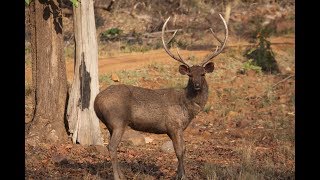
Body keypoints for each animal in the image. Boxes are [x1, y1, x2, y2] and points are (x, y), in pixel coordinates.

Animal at [94, 13, 229, 179]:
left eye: (203, 74)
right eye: (190, 75)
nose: (197, 85)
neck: (187, 107)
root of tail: (96, 101)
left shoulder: (175, 129)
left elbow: (183, 150)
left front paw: (180, 174)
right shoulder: (174, 125)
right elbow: (180, 151)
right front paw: (182, 176)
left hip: (110, 124)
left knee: (111, 145)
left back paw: (123, 175)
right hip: (117, 120)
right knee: (112, 147)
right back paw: (117, 177)